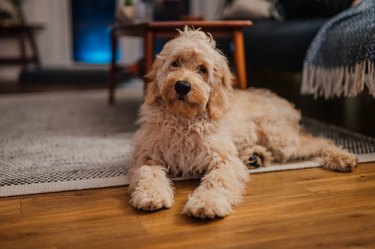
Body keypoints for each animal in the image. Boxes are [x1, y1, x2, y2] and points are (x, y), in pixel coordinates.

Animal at [129, 26, 358, 219]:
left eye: (202, 69)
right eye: (175, 63)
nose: (182, 86)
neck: (184, 119)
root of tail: (284, 103)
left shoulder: (224, 160)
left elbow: (218, 181)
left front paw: (207, 203)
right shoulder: (148, 156)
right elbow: (148, 174)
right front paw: (151, 194)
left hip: (279, 138)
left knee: (319, 139)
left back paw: (343, 157)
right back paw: (256, 156)